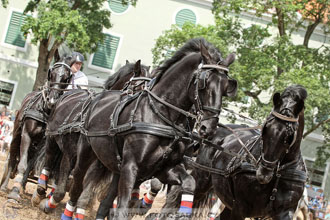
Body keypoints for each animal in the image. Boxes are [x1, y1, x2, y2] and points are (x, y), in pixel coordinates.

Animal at [0, 51, 73, 201]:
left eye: (66, 77)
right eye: (52, 73)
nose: (52, 100)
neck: (45, 111)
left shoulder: (41, 144)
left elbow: (29, 165)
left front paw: (20, 187)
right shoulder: (26, 135)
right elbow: (22, 164)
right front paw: (14, 192)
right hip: (16, 133)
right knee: (12, 157)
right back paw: (4, 185)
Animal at [30, 59, 150, 212]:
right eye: (140, 89)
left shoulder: (99, 164)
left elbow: (85, 191)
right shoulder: (73, 155)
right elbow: (64, 188)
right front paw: (49, 202)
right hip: (52, 137)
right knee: (49, 161)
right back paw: (40, 192)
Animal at [56, 37, 237, 218]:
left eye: (225, 87)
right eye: (204, 83)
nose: (209, 127)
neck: (161, 116)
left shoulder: (164, 168)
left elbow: (188, 183)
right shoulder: (130, 167)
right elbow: (121, 208)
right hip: (86, 154)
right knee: (77, 187)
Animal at [166, 84, 308, 220]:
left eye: (289, 136)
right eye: (265, 128)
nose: (263, 174)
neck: (278, 174)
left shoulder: (285, 211)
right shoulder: (240, 208)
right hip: (202, 179)